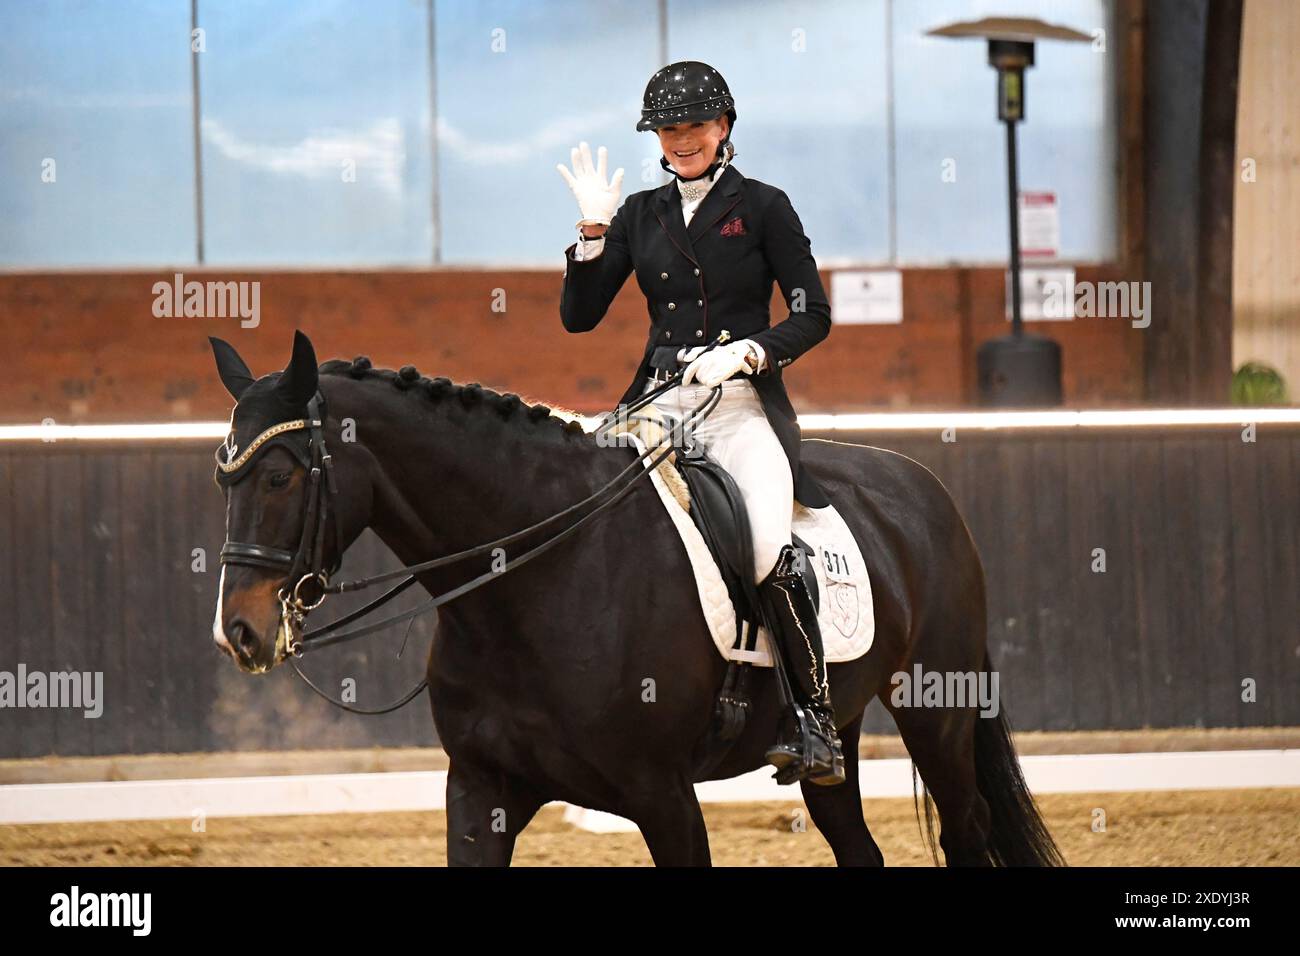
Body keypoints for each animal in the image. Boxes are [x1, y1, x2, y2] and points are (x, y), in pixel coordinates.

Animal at [213, 332, 1060, 868]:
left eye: (280, 475)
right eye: (224, 477)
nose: (240, 634)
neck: (529, 586)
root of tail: (920, 486)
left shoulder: (664, 797)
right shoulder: (482, 789)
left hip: (936, 711)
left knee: (967, 831)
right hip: (839, 734)